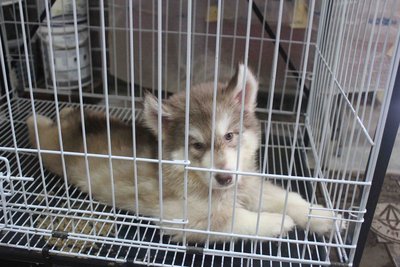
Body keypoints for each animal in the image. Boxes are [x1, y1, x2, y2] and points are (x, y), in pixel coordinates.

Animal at [25, 65, 338, 243]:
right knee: (38, 130)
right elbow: (231, 220)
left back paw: (68, 110)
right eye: (196, 145)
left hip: (94, 118)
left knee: (73, 115)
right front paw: (276, 222)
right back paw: (34, 118)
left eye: (229, 136)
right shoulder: (181, 217)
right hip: (50, 150)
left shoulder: (249, 184)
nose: (224, 178)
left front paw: (321, 216)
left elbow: (288, 197)